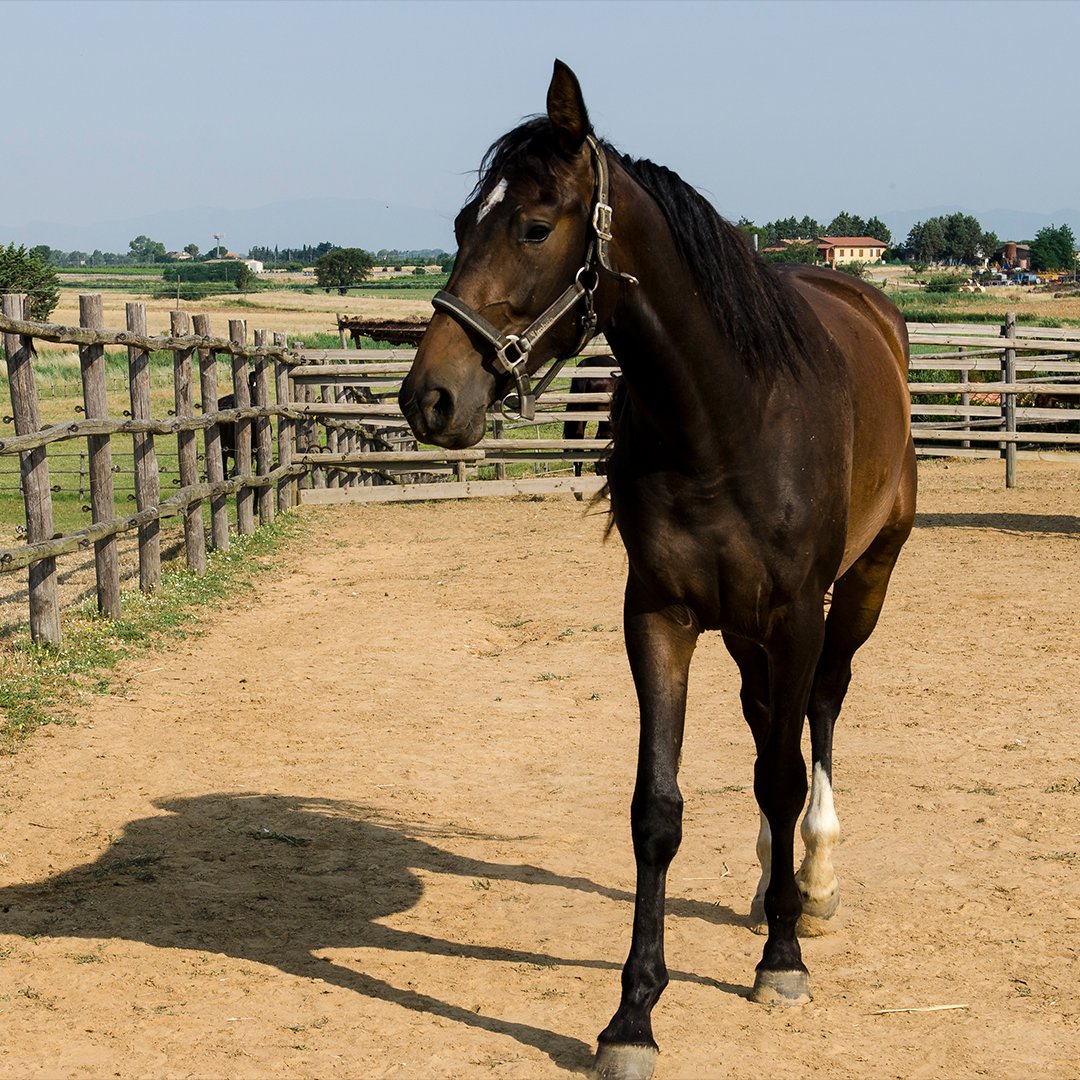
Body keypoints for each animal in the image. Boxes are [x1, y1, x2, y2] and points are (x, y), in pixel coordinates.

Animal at [399, 61, 916, 1080]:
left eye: (533, 224)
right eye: (461, 223)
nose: (429, 397)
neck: (728, 416)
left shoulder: (796, 613)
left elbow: (784, 774)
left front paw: (782, 963)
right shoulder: (661, 618)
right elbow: (659, 810)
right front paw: (631, 1015)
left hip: (859, 589)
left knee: (819, 717)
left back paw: (814, 881)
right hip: (749, 632)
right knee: (767, 727)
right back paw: (767, 882)